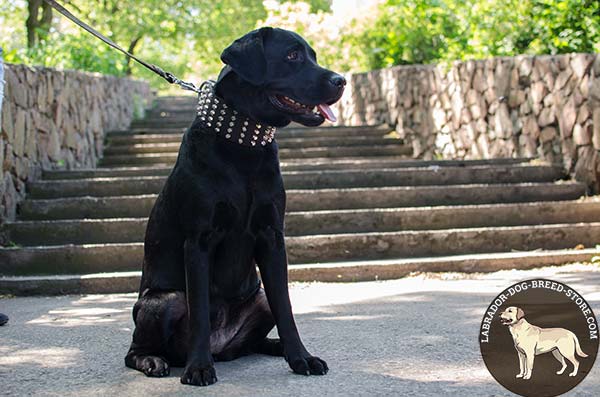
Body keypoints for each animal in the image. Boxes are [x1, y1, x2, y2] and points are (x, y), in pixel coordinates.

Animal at [124, 26, 344, 386]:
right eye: (293, 55)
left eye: (312, 55)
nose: (341, 80)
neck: (244, 144)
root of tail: (222, 346)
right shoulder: (198, 242)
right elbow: (200, 312)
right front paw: (198, 368)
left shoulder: (272, 236)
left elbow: (287, 309)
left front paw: (301, 358)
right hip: (165, 301)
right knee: (135, 349)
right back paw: (156, 360)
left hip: (259, 297)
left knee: (255, 337)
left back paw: (274, 347)